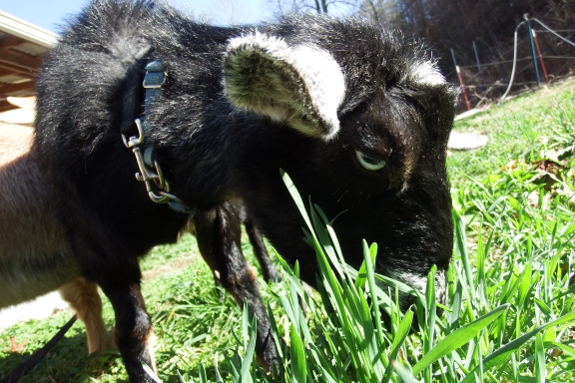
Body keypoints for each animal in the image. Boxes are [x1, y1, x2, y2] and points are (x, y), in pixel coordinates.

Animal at [32, 1, 460, 382]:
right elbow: (133, 325)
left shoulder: (217, 213)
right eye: (370, 156)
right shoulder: (99, 246)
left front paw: (274, 362)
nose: (430, 305)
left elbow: (241, 279)